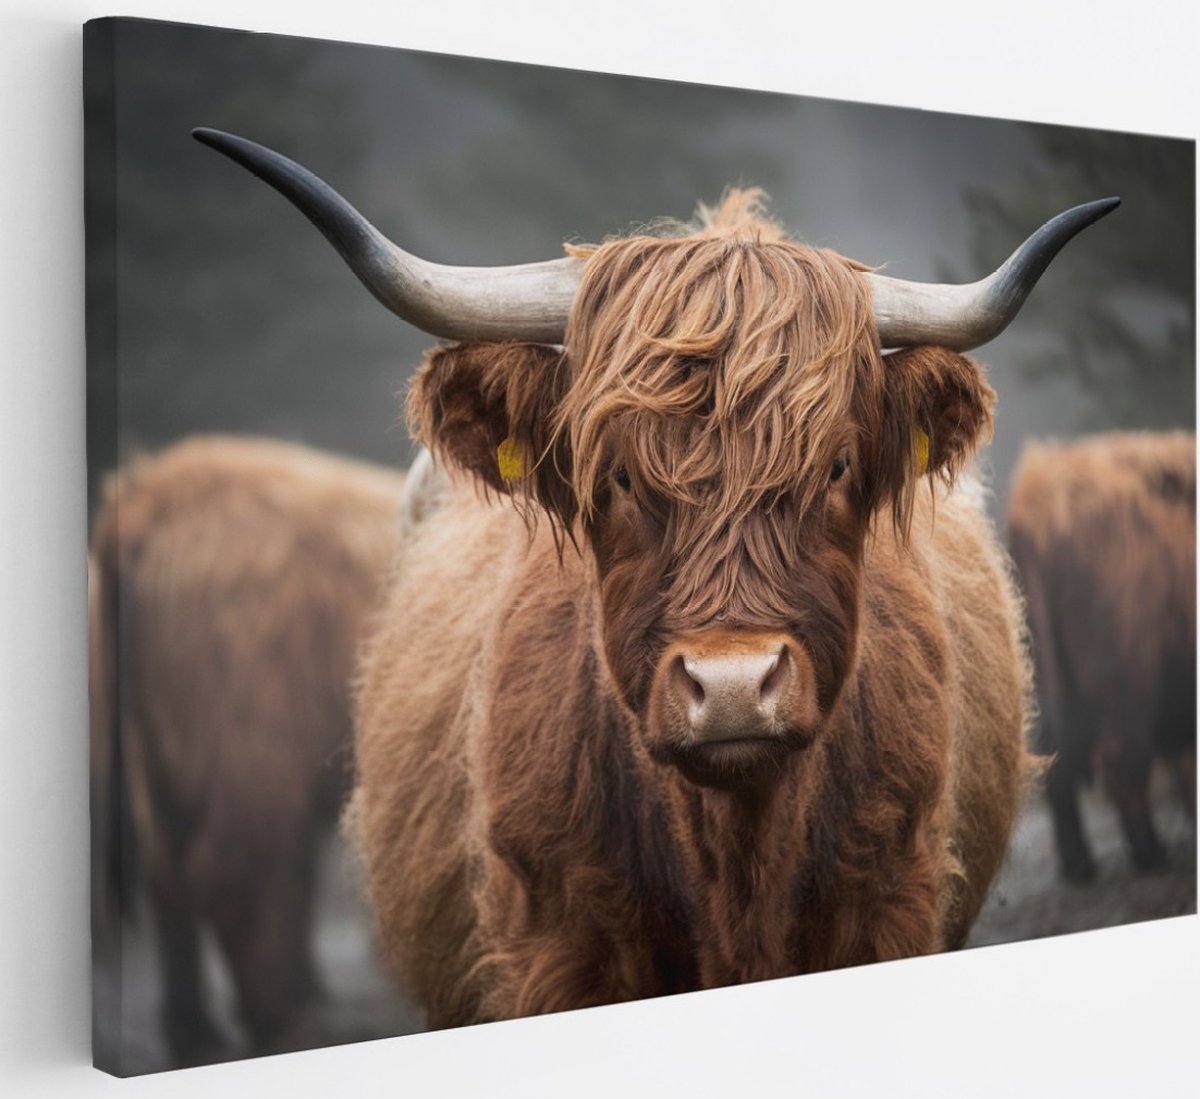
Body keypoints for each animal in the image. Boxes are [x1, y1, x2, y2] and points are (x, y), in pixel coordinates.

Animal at [90, 435, 405, 1066]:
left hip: (172, 755)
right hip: (249, 738)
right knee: (232, 873)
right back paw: (280, 1023)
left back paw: (195, 1028)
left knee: (174, 880)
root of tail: (148, 495)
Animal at [194, 128, 1117, 1025]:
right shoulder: (561, 946)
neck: (736, 861)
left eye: (837, 466)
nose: (735, 686)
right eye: (619, 476)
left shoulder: (889, 900)